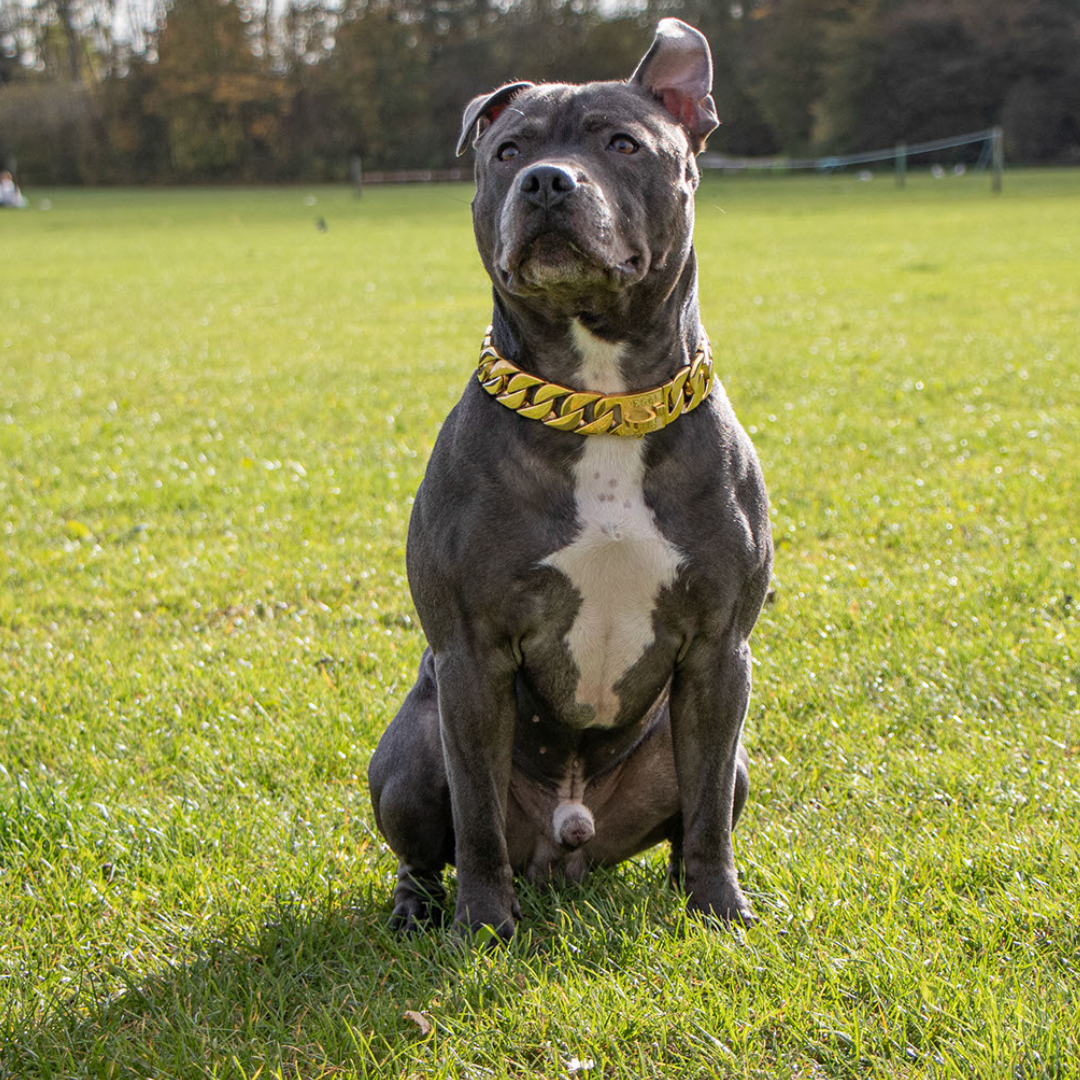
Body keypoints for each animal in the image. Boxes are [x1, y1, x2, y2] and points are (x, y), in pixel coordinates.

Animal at [367, 21, 773, 941]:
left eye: (623, 144)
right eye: (508, 150)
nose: (547, 181)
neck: (602, 402)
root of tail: (569, 843)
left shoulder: (719, 653)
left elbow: (705, 814)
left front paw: (718, 906)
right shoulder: (471, 657)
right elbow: (477, 816)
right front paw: (482, 926)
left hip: (724, 757)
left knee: (700, 803)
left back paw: (679, 887)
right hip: (407, 753)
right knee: (427, 845)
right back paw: (418, 908)